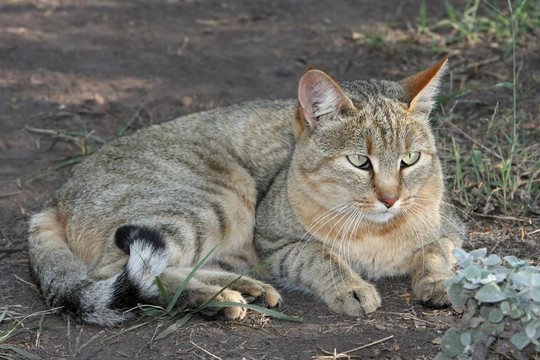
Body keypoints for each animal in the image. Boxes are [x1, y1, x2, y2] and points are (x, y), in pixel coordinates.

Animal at [27, 57, 464, 326]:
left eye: (410, 159)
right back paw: (215, 299)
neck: (376, 230)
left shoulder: (453, 227)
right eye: (360, 162)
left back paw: (240, 288)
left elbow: (436, 250)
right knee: (126, 274)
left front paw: (438, 283)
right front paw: (352, 287)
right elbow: (319, 255)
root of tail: (52, 201)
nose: (390, 199)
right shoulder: (273, 243)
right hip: (216, 200)